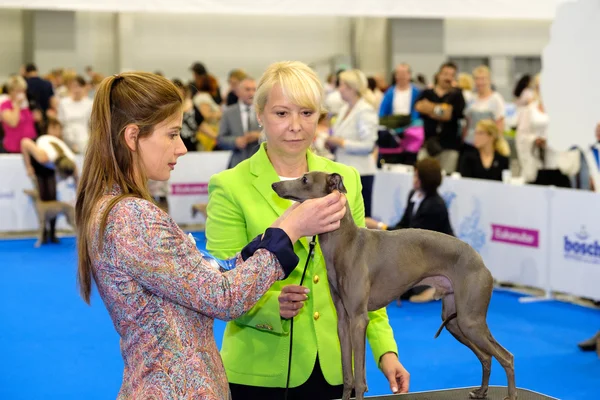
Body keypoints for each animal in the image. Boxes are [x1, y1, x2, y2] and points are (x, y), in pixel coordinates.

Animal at [272, 171, 516, 400]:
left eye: (305, 179)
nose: (275, 184)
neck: (346, 243)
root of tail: (480, 261)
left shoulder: (359, 319)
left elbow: (359, 377)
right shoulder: (342, 320)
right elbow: (347, 374)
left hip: (469, 320)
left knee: (506, 356)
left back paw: (511, 394)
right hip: (455, 321)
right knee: (486, 356)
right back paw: (482, 392)